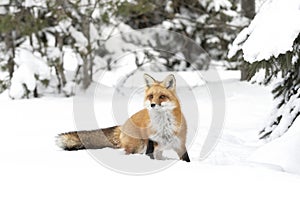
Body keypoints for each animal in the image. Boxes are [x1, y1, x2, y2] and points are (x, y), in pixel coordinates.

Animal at [56, 73, 190, 162]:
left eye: (162, 96)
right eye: (151, 96)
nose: (152, 105)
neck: (164, 127)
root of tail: (122, 126)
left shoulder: (180, 146)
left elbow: (186, 159)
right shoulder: (151, 144)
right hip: (138, 145)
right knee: (128, 153)